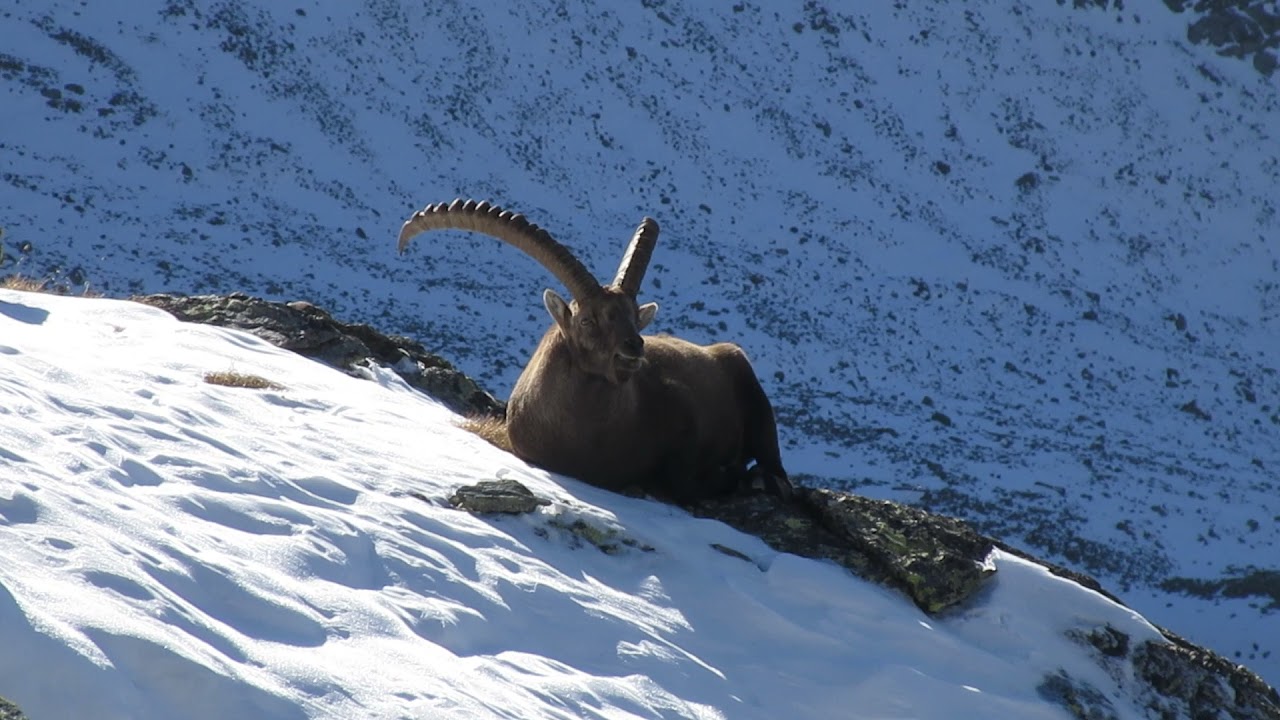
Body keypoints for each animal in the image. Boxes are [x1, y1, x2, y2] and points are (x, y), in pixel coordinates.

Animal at [398, 199, 790, 502]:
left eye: (634, 316)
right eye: (587, 320)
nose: (634, 349)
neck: (583, 437)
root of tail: (724, 350)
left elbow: (684, 480)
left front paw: (728, 475)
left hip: (758, 407)